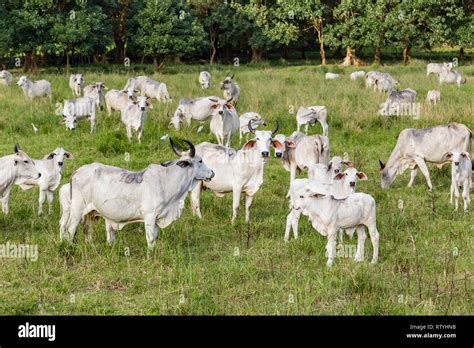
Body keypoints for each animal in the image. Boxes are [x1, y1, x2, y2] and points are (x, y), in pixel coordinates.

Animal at [58, 137, 213, 249]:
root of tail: (77, 172)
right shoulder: (149, 216)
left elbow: (155, 237)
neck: (166, 180)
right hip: (77, 210)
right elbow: (150, 239)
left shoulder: (157, 218)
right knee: (69, 229)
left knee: (86, 230)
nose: (212, 173)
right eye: (200, 160)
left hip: (90, 213)